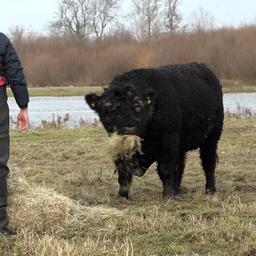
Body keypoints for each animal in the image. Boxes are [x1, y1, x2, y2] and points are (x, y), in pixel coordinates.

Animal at [85, 63, 223, 199]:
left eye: (138, 105)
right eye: (110, 109)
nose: (128, 128)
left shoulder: (168, 141)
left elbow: (165, 169)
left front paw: (167, 196)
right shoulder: (120, 148)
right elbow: (123, 172)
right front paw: (122, 196)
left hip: (212, 136)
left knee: (208, 163)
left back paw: (209, 191)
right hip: (181, 143)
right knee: (180, 166)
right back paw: (177, 192)